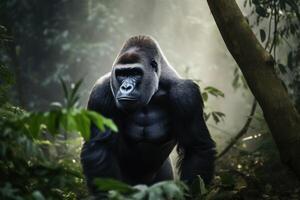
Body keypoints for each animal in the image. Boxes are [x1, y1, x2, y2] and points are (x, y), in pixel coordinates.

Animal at [79, 34, 216, 194]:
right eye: (122, 74)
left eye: (135, 73)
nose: (126, 87)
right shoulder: (100, 92)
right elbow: (99, 147)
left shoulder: (186, 94)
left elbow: (197, 148)